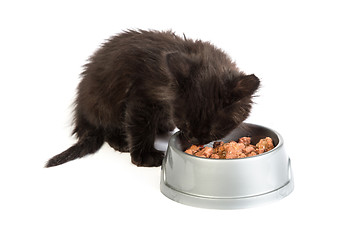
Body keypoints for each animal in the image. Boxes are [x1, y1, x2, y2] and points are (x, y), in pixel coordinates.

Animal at [45, 30, 258, 168]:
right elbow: (140, 128)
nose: (195, 140)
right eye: (186, 123)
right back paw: (121, 141)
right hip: (105, 103)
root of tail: (81, 110)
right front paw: (144, 156)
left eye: (214, 130)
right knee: (107, 128)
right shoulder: (142, 98)